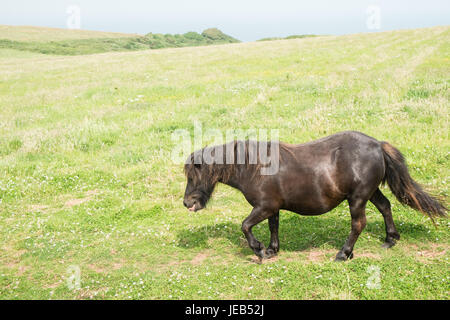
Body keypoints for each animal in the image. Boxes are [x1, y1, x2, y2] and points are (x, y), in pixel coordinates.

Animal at [183, 131, 446, 262]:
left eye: (193, 175)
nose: (188, 203)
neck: (255, 168)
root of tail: (378, 145)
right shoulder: (272, 208)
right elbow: (273, 227)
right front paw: (272, 250)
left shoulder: (264, 207)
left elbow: (245, 226)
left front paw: (258, 250)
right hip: (370, 193)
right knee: (385, 207)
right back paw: (390, 239)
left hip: (358, 198)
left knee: (358, 224)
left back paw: (344, 253)